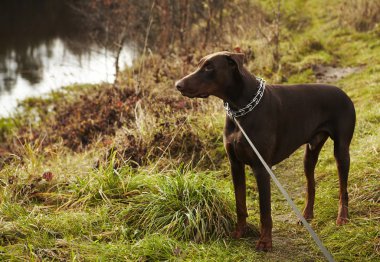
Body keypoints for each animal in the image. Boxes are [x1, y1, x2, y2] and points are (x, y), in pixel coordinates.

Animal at [175, 50, 356, 250]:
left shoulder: (261, 168)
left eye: (209, 67)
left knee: (343, 189)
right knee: (311, 184)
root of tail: (343, 93)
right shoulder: (235, 165)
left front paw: (265, 241)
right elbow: (240, 204)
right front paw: (239, 232)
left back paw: (342, 217)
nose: (177, 85)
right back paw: (307, 215)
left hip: (341, 151)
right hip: (310, 153)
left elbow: (265, 210)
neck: (241, 109)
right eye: (200, 64)